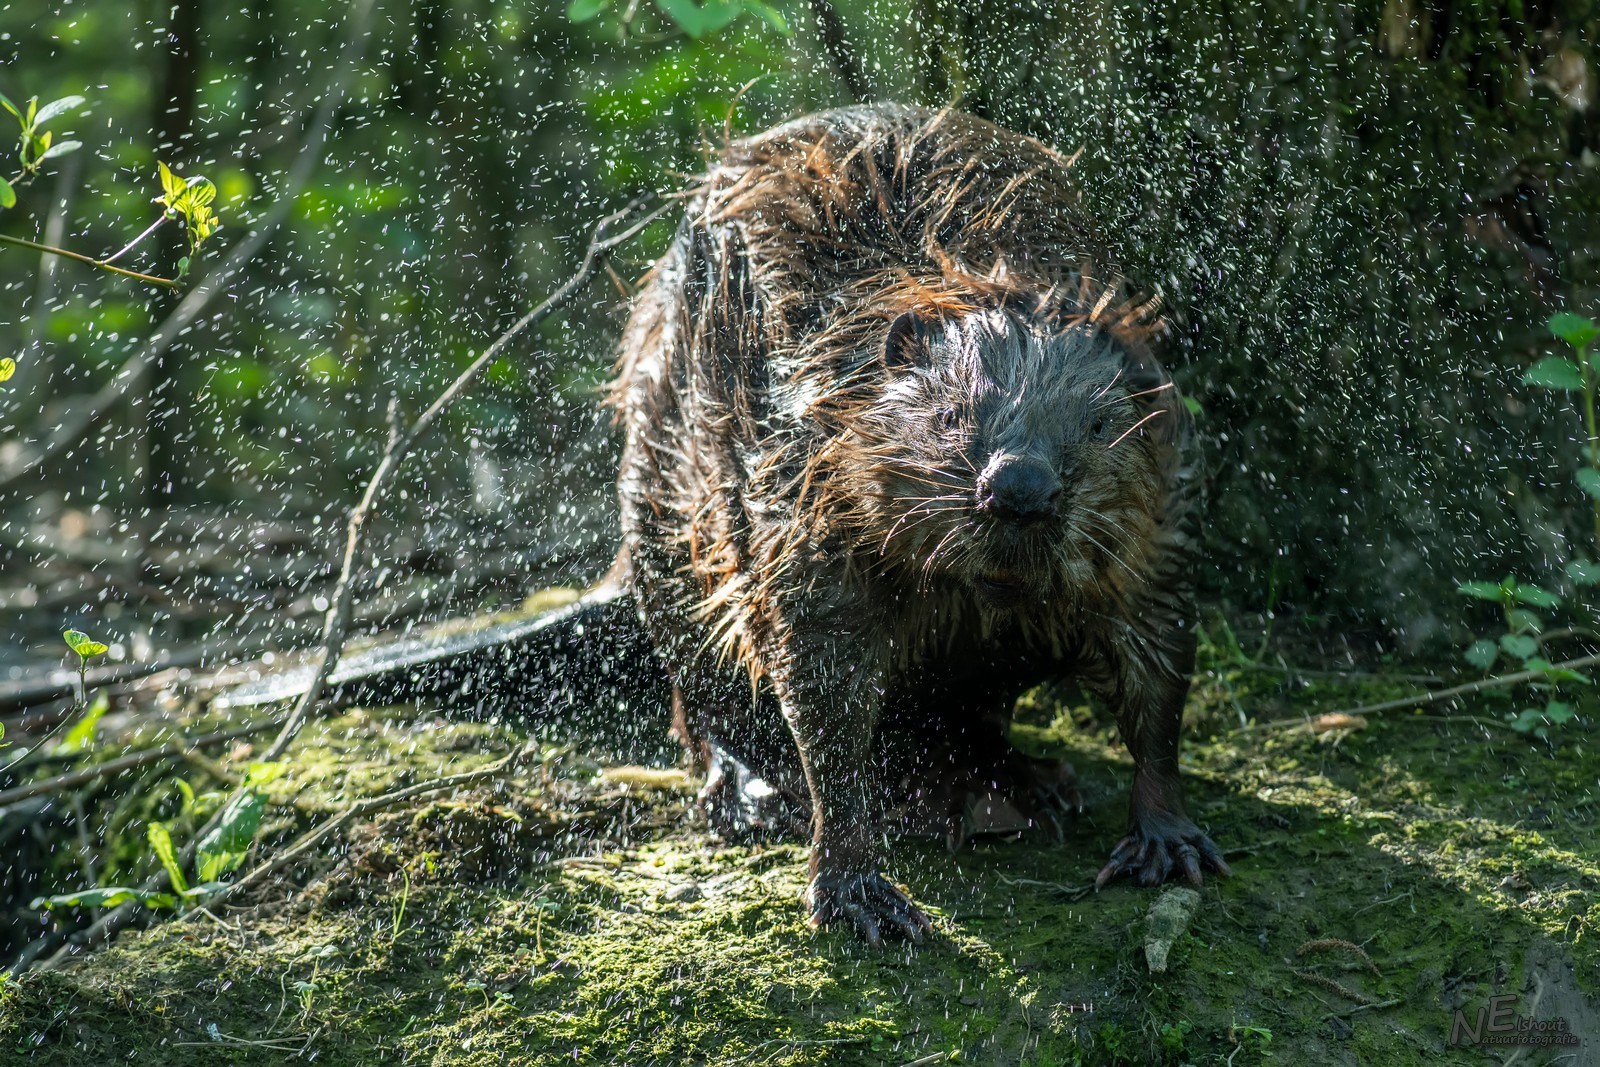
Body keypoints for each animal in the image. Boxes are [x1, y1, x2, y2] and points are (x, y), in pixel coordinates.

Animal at [611, 103, 1222, 940]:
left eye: (1098, 426)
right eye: (950, 414)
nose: (1019, 489)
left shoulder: (1162, 508)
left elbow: (1157, 661)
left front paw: (1168, 840)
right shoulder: (804, 488)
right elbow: (824, 682)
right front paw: (860, 892)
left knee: (975, 715)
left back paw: (1021, 787)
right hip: (662, 499)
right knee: (704, 683)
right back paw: (755, 793)